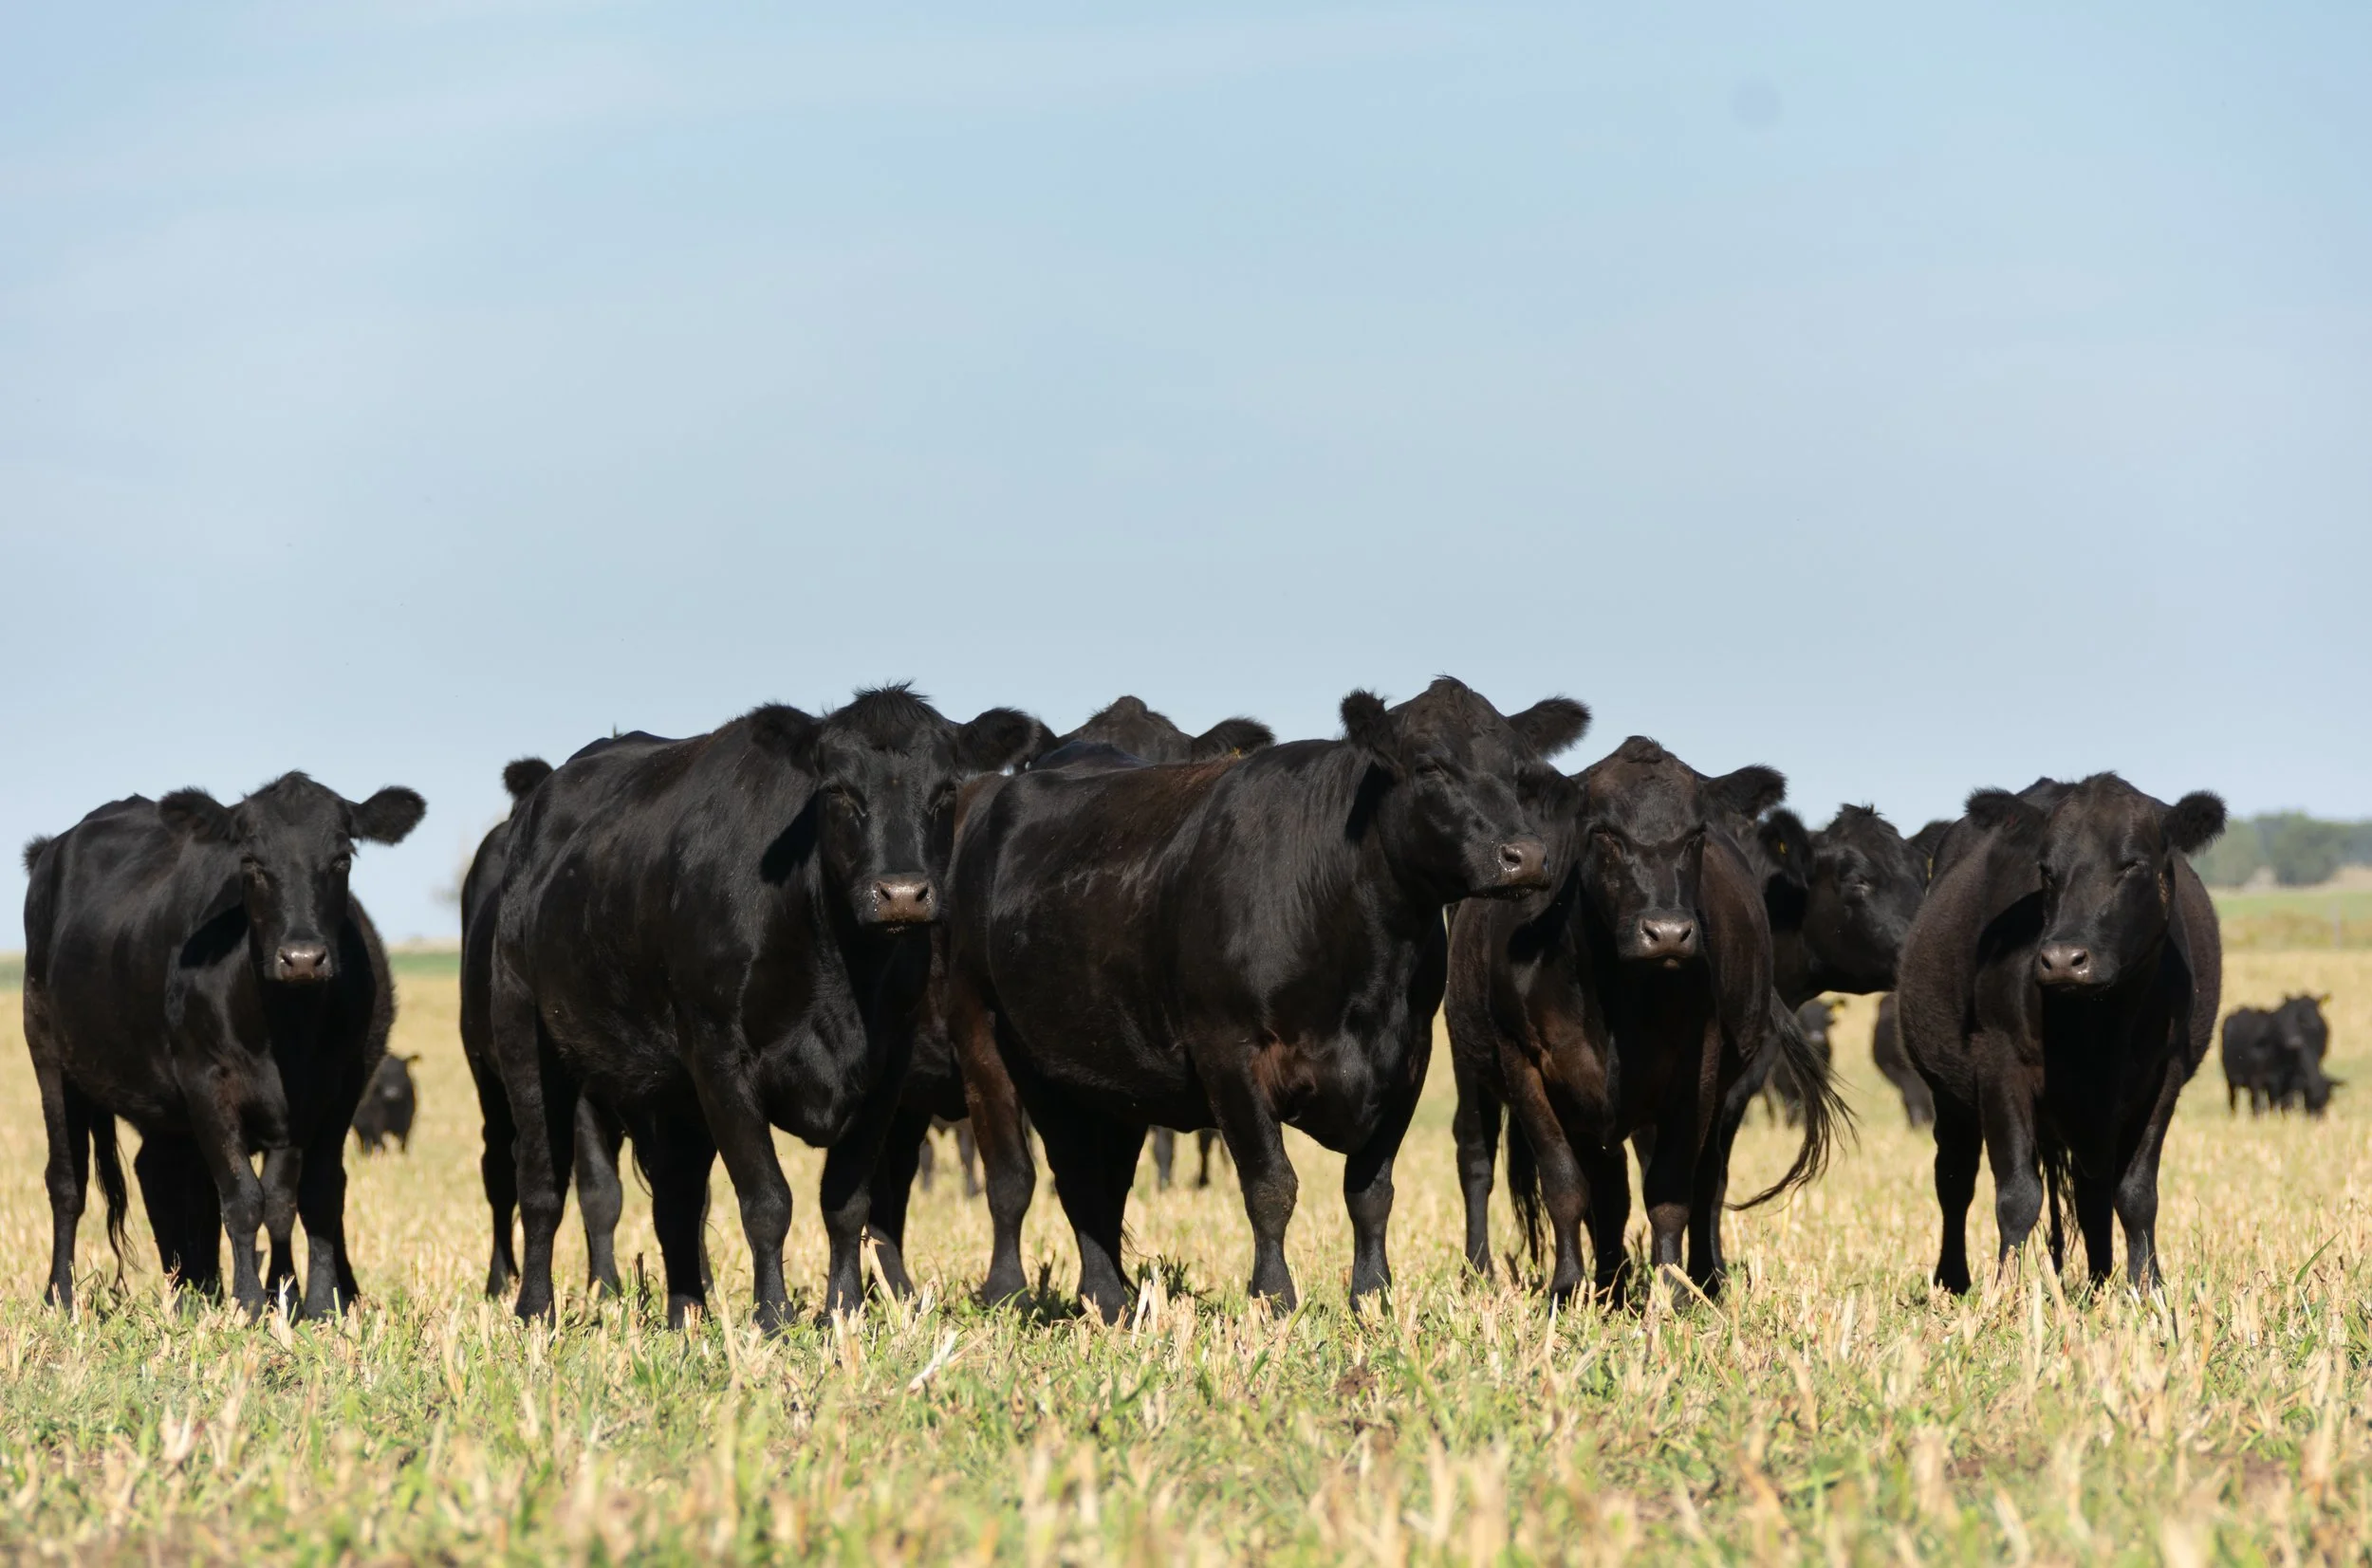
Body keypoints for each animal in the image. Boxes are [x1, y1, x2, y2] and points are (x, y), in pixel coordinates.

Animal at [20, 773, 424, 1318]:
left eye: (343, 858)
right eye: (250, 861)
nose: (302, 958)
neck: (286, 1027)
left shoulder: (337, 1092)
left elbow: (305, 1197)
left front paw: (312, 1303)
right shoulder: (206, 1083)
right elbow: (243, 1197)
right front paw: (250, 1302)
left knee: (163, 1175)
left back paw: (193, 1290)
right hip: (48, 1055)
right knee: (67, 1181)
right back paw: (60, 1295)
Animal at [488, 687, 1038, 1328]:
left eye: (946, 790)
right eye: (837, 791)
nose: (901, 894)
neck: (840, 971)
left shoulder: (886, 1072)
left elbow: (846, 1201)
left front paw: (844, 1309)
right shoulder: (720, 1059)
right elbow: (768, 1201)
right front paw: (773, 1317)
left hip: (669, 1091)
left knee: (677, 1198)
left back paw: (686, 1314)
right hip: (525, 1037)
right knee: (541, 1186)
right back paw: (535, 1310)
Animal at [947, 678, 1591, 1321]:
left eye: (1520, 771)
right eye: (1430, 764)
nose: (1525, 856)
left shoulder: (1408, 1057)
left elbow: (1371, 1191)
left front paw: (1372, 1297)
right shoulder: (1228, 1051)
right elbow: (1271, 1185)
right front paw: (1274, 1299)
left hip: (1102, 1070)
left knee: (1095, 1184)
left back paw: (1111, 1300)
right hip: (983, 1033)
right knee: (1018, 1177)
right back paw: (1011, 1292)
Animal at [1445, 737, 1837, 1302]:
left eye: (1696, 835)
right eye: (1604, 831)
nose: (1667, 932)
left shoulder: (1697, 1068)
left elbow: (1669, 1190)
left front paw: (1672, 1292)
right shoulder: (1523, 1062)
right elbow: (1563, 1184)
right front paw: (1566, 1288)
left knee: (1691, 1179)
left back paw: (1678, 1279)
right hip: (1470, 1062)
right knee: (1479, 1160)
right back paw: (1493, 1273)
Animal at [1896, 775, 2224, 1293]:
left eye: (2132, 864)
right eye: (2046, 870)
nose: (2064, 959)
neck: (2094, 1025)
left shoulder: (2163, 1074)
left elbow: (2137, 1193)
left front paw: (2147, 1287)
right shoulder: (1999, 1062)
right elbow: (2017, 1195)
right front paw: (2005, 1294)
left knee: (2094, 1194)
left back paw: (2099, 1281)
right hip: (1948, 1096)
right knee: (1954, 1178)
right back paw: (1954, 1280)